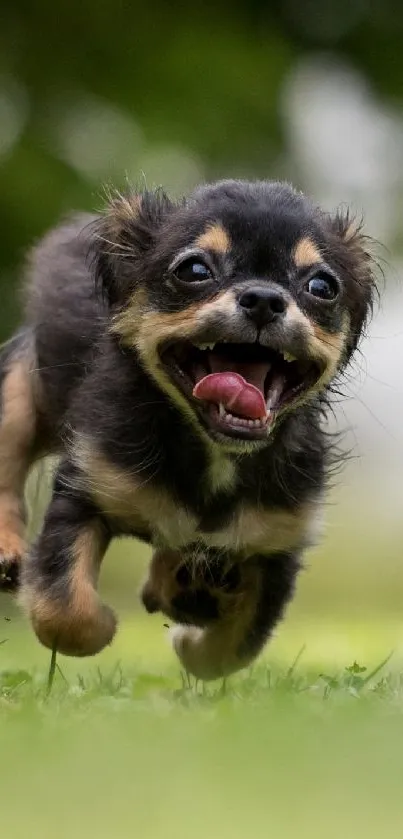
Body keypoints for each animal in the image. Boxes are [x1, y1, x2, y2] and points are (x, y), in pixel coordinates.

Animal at [0, 180, 376, 680]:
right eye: (194, 270)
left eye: (322, 286)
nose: (264, 298)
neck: (213, 452)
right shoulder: (85, 490)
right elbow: (65, 612)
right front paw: (104, 625)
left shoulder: (276, 544)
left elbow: (230, 651)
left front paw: (188, 636)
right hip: (19, 391)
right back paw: (7, 549)